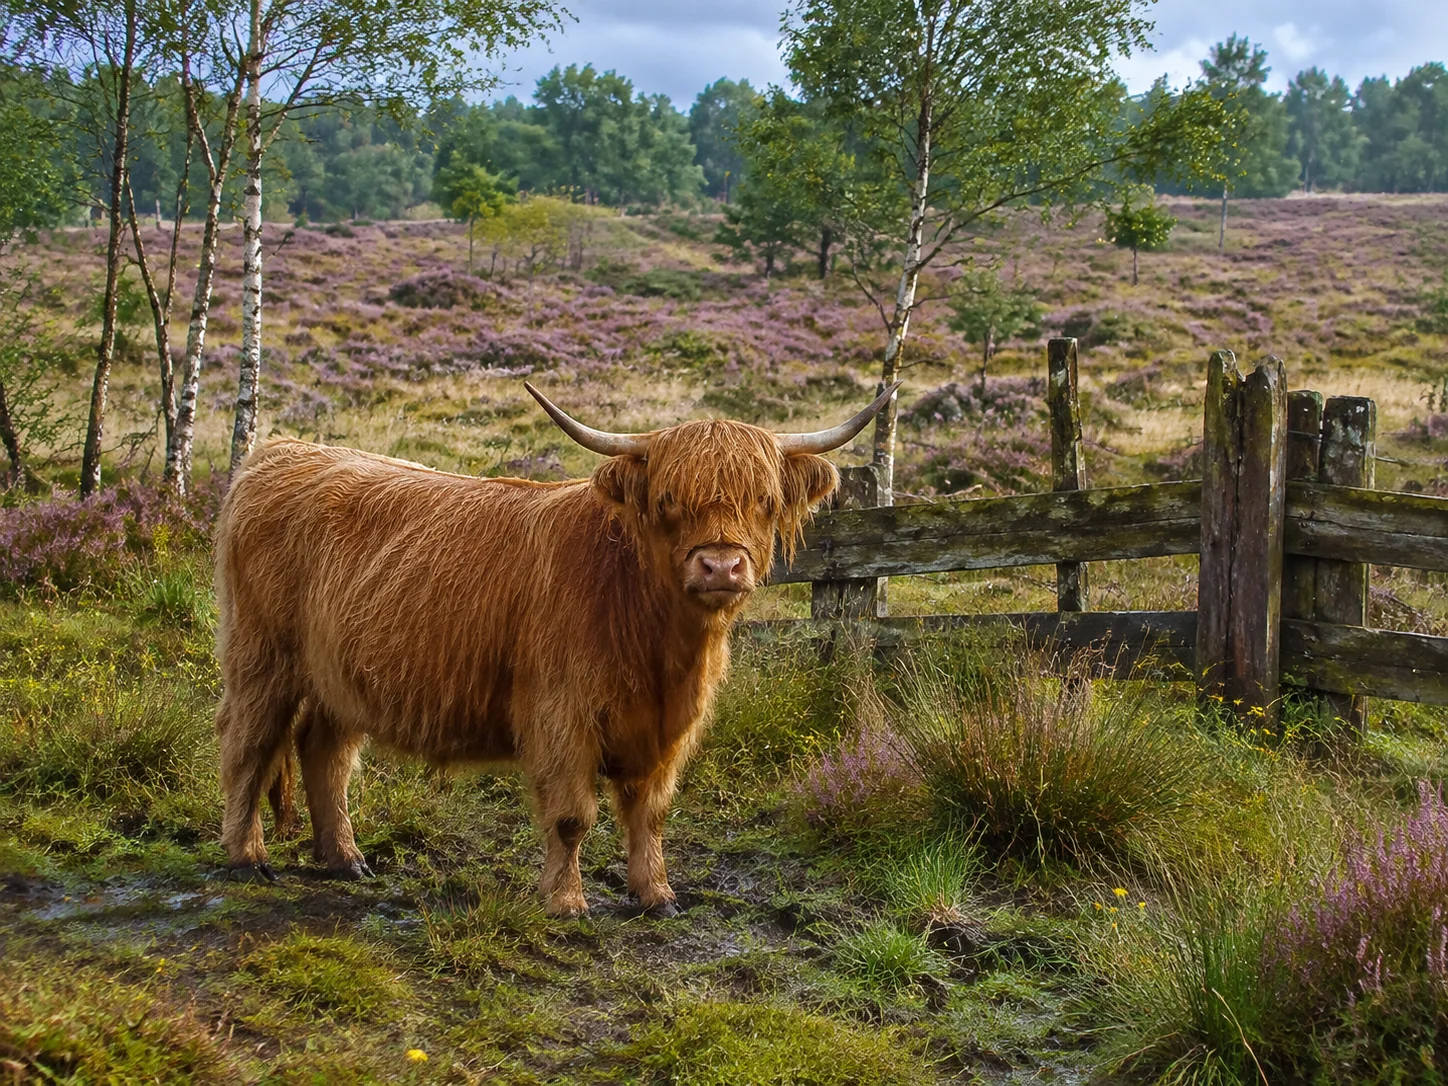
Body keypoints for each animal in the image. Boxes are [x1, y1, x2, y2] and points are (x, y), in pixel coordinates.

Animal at [213, 381, 897, 917]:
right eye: (668, 500)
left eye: (764, 500)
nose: (721, 565)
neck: (658, 644)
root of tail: (277, 452)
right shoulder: (561, 712)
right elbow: (573, 816)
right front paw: (567, 902)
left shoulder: (666, 728)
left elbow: (649, 812)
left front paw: (657, 895)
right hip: (262, 656)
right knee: (249, 742)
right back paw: (247, 857)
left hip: (341, 672)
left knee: (323, 751)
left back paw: (345, 859)